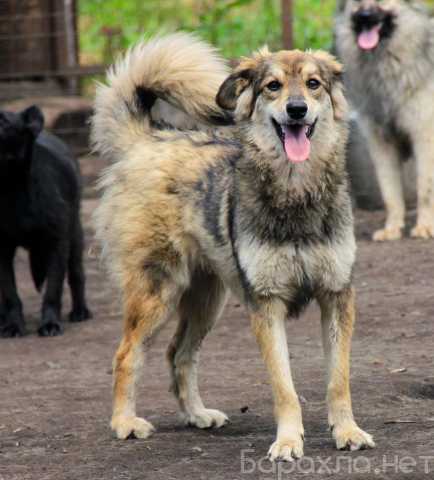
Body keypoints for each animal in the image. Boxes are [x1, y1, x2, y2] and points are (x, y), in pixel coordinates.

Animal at [0, 106, 91, 338]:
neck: (10, 189)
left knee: (77, 274)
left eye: (4, 122)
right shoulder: (1, 248)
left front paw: (50, 325)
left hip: (75, 235)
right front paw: (13, 326)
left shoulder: (57, 241)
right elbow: (9, 292)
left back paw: (80, 312)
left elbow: (53, 288)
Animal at [93, 32, 374, 462]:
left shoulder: (337, 295)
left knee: (178, 354)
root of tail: (149, 138)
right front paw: (288, 441)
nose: (296, 110)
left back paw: (197, 415)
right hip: (158, 293)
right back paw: (125, 423)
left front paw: (347, 431)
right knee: (126, 355)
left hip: (208, 300)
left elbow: (338, 380)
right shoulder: (266, 305)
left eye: (313, 84)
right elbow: (285, 388)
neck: (296, 196)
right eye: (273, 86)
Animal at [336, 0, 434, 240]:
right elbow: (390, 193)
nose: (364, 16)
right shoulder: (381, 143)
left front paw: (425, 226)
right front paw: (392, 228)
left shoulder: (424, 138)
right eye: (356, 4)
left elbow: (424, 189)